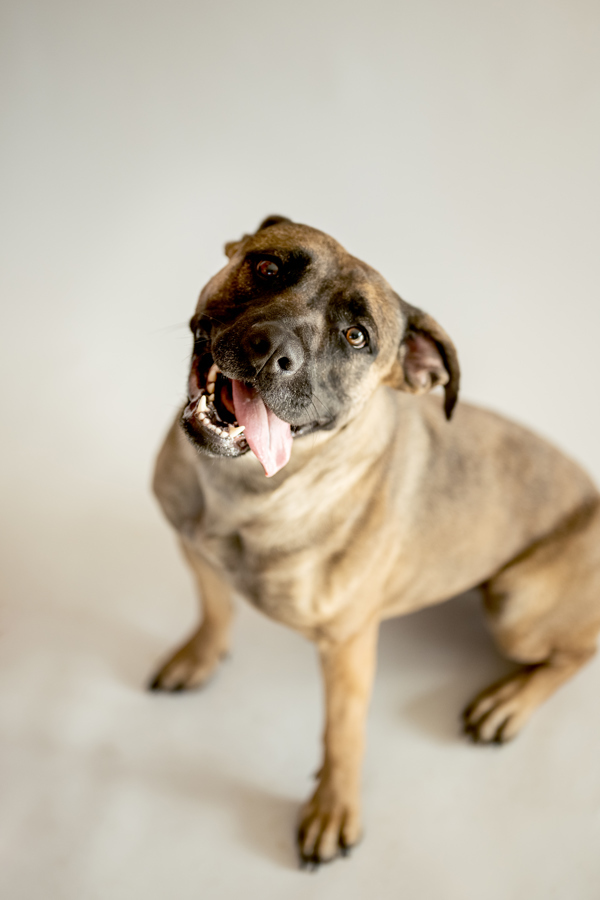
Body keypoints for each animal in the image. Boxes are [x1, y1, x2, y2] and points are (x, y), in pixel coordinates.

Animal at [150, 216, 600, 864]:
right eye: (267, 267)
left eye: (357, 336)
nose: (270, 351)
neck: (248, 491)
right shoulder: (193, 548)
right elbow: (214, 609)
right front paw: (199, 656)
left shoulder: (347, 645)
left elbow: (343, 733)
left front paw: (333, 809)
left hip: (517, 602)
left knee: (577, 651)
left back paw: (508, 702)